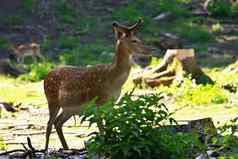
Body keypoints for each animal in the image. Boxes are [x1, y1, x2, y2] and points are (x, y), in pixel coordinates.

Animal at [43, 18, 151, 150]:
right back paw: (46, 150)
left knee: (57, 122)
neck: (113, 81)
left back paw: (66, 148)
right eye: (134, 40)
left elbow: (109, 126)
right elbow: (101, 129)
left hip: (69, 108)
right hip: (52, 100)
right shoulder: (98, 102)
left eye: (139, 38)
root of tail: (45, 77)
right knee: (49, 124)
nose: (150, 50)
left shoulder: (111, 103)